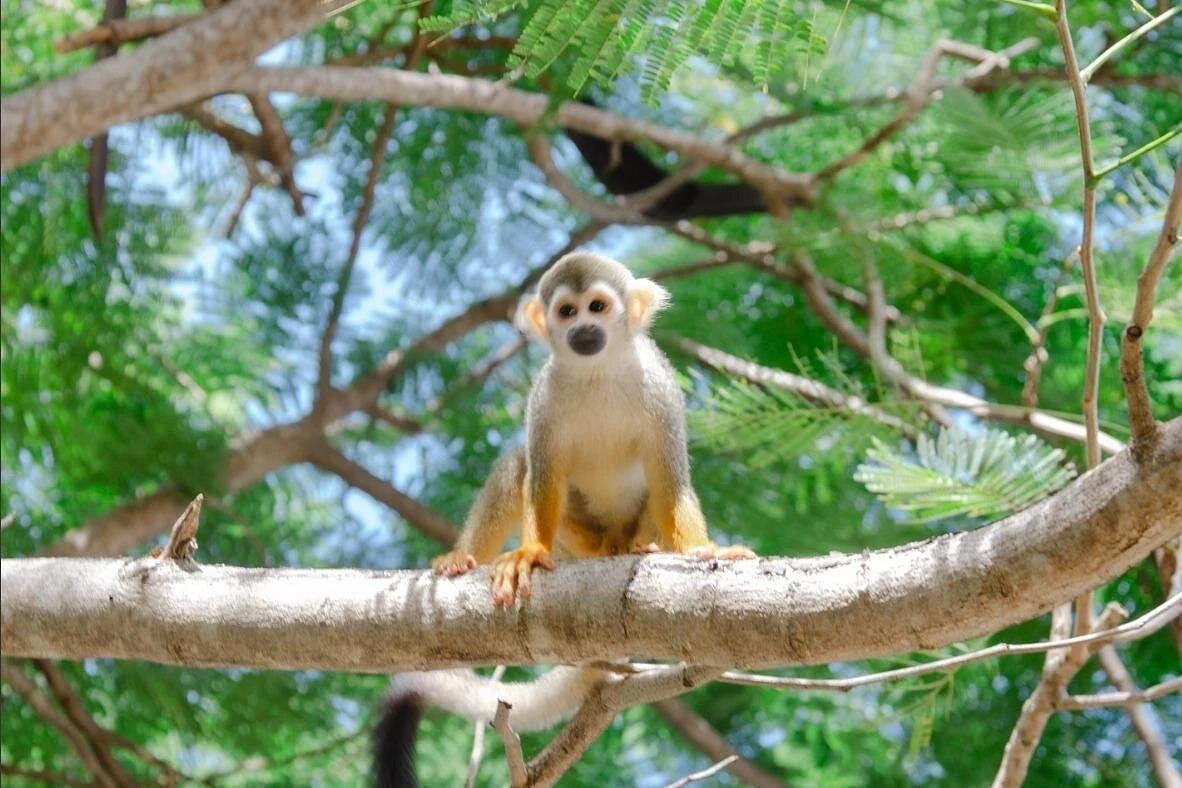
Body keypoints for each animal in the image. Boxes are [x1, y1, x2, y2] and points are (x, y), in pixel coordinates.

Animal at [372, 252, 755, 787]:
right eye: (567, 312)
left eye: (598, 306)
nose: (585, 330)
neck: (596, 373)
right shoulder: (544, 397)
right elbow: (543, 477)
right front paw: (529, 555)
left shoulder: (660, 386)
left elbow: (670, 481)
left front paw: (706, 550)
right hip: (578, 542)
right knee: (519, 465)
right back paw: (465, 558)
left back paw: (644, 549)